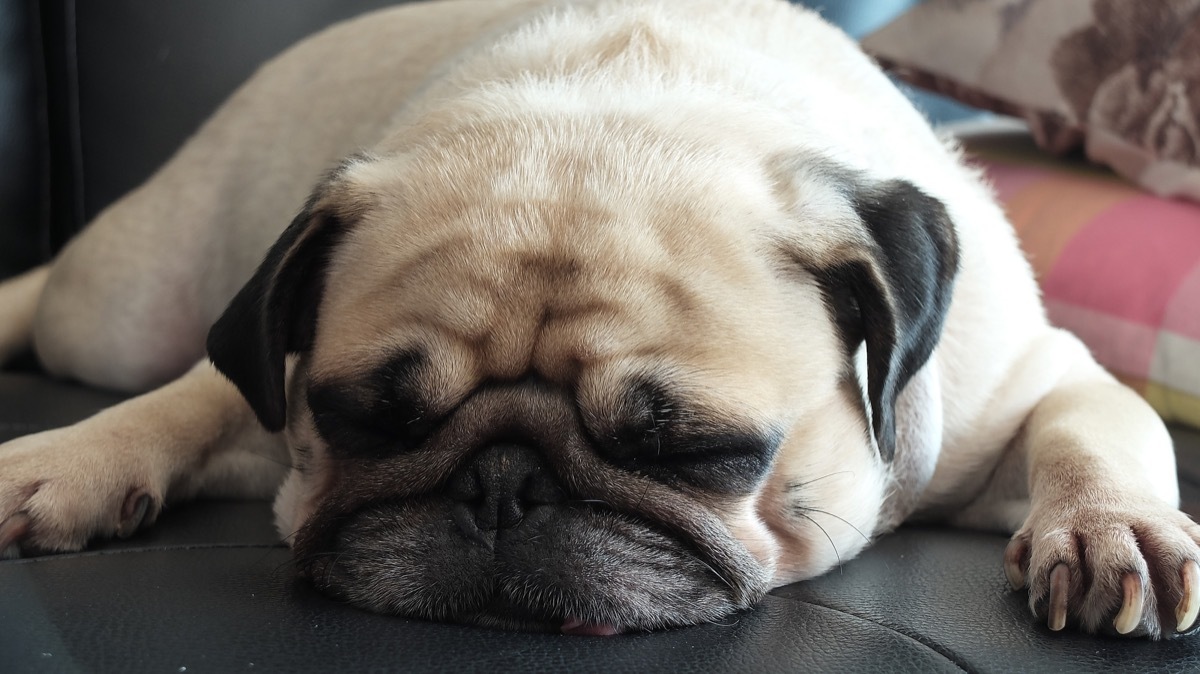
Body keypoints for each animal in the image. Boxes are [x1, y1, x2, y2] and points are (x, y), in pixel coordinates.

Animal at [2, 0, 1200, 633]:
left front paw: (1110, 527)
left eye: (701, 451)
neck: (620, 109)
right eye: (366, 422)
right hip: (116, 308)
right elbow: (189, 400)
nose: (501, 485)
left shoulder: (1037, 379)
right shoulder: (265, 389)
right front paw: (67, 462)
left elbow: (1096, 429)